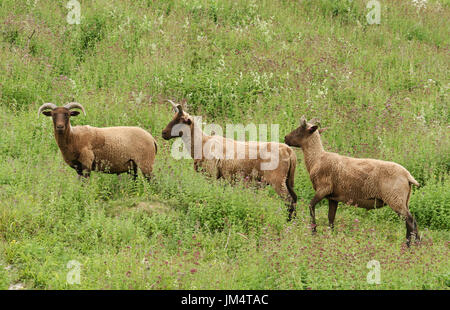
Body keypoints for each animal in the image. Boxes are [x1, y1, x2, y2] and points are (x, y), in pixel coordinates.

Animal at [162, 100, 298, 219]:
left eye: (181, 120)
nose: (163, 133)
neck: (202, 143)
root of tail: (289, 151)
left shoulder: (211, 174)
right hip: (288, 180)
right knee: (295, 199)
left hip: (277, 180)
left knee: (289, 201)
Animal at [286, 116, 420, 247]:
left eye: (299, 130)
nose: (285, 138)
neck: (317, 158)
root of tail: (408, 176)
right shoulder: (333, 197)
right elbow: (331, 218)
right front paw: (331, 235)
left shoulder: (323, 189)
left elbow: (311, 206)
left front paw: (314, 232)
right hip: (403, 200)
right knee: (411, 222)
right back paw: (414, 244)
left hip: (395, 199)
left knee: (410, 221)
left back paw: (411, 245)